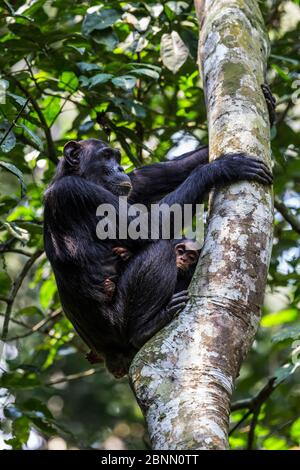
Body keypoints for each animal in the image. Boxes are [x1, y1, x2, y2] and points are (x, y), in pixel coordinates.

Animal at [44, 137, 272, 378]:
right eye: (106, 156)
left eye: (116, 157)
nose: (120, 168)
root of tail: (110, 358)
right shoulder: (79, 191)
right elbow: (149, 226)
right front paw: (221, 167)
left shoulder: (130, 187)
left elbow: (163, 173)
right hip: (119, 323)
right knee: (160, 248)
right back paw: (146, 329)